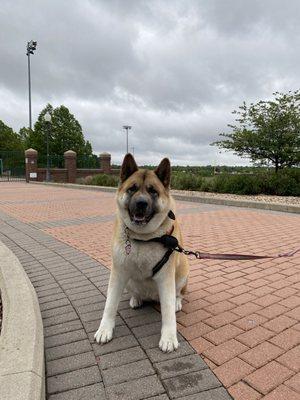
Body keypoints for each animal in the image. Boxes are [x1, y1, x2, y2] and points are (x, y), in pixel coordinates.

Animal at [94, 153, 189, 350]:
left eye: (153, 191)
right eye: (132, 189)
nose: (141, 203)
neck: (144, 238)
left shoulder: (166, 277)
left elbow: (168, 311)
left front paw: (169, 337)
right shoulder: (118, 273)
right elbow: (110, 304)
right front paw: (105, 329)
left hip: (182, 272)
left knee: (178, 294)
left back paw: (177, 301)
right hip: (129, 282)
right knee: (137, 292)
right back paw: (136, 299)